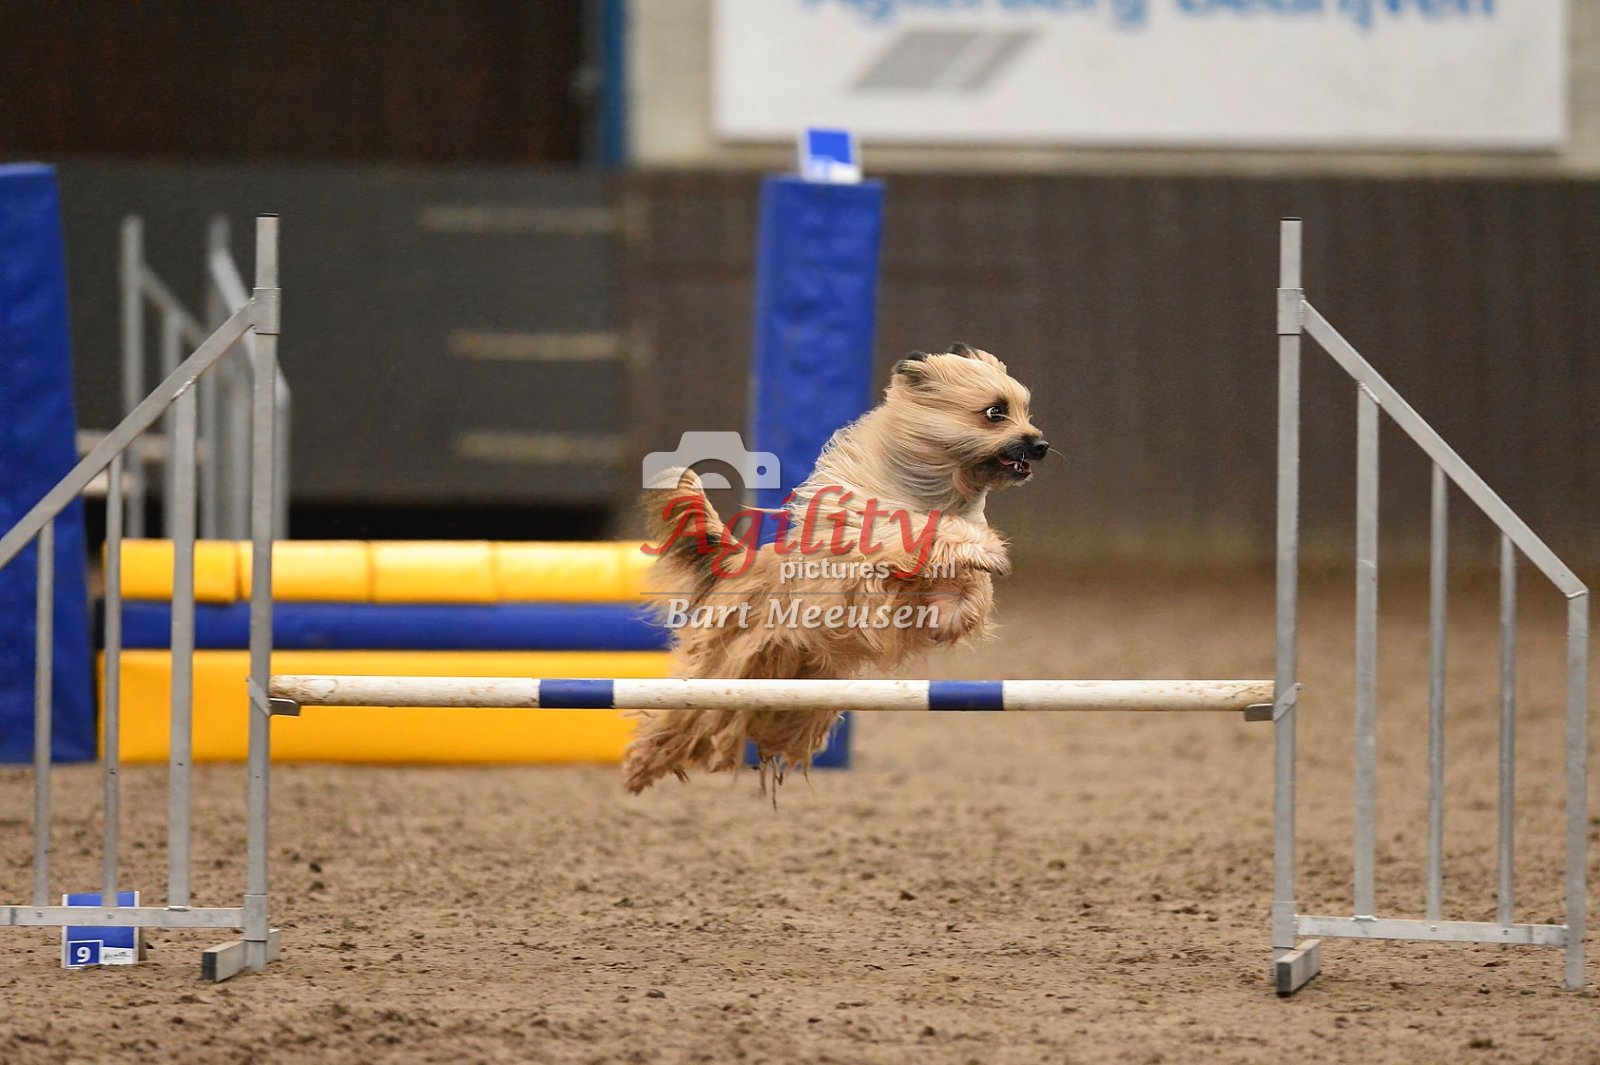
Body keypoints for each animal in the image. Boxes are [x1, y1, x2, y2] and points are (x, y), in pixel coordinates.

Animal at [623, 343, 1048, 794]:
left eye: (1024, 409)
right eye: (994, 412)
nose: (1041, 445)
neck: (933, 491)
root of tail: (738, 560)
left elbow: (963, 594)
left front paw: (963, 594)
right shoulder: (871, 546)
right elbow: (925, 535)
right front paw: (982, 550)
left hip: (794, 686)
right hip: (724, 671)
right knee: (679, 717)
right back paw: (641, 766)